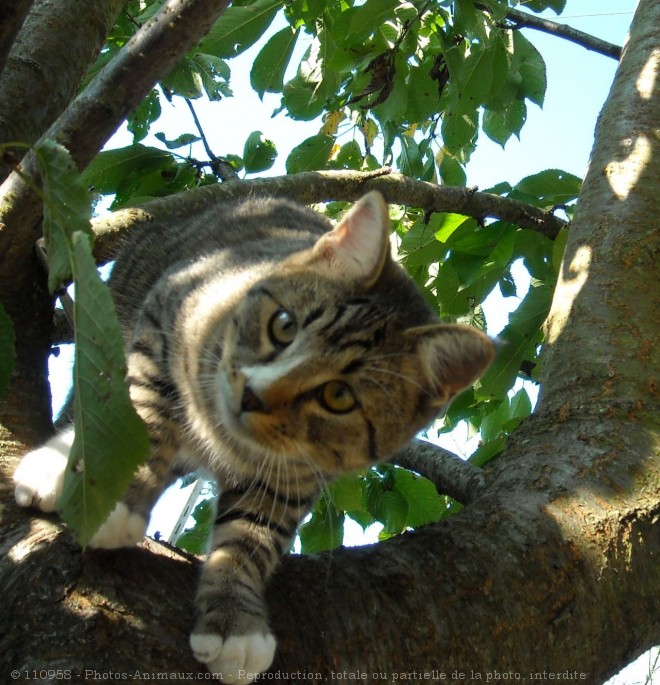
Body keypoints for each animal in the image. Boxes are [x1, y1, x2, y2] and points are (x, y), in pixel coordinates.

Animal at [12, 191, 492, 680]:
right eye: (283, 325)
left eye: (338, 396)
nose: (252, 395)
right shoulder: (163, 318)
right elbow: (145, 419)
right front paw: (116, 499)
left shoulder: (292, 481)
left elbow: (251, 536)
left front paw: (234, 618)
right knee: (94, 401)